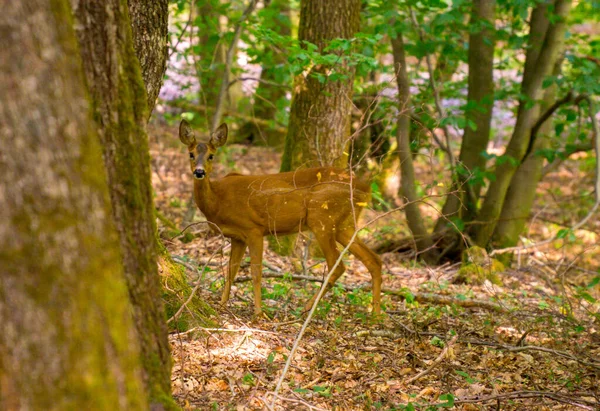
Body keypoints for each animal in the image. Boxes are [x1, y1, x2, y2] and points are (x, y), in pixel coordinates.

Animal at [178, 120, 382, 318]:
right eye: (190, 154)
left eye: (211, 156)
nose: (199, 172)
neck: (218, 200)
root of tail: (366, 189)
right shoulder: (237, 237)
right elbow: (231, 271)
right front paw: (221, 305)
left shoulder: (254, 229)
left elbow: (256, 272)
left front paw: (259, 313)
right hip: (343, 225)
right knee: (374, 259)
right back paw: (376, 316)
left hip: (321, 217)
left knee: (337, 265)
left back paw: (306, 309)